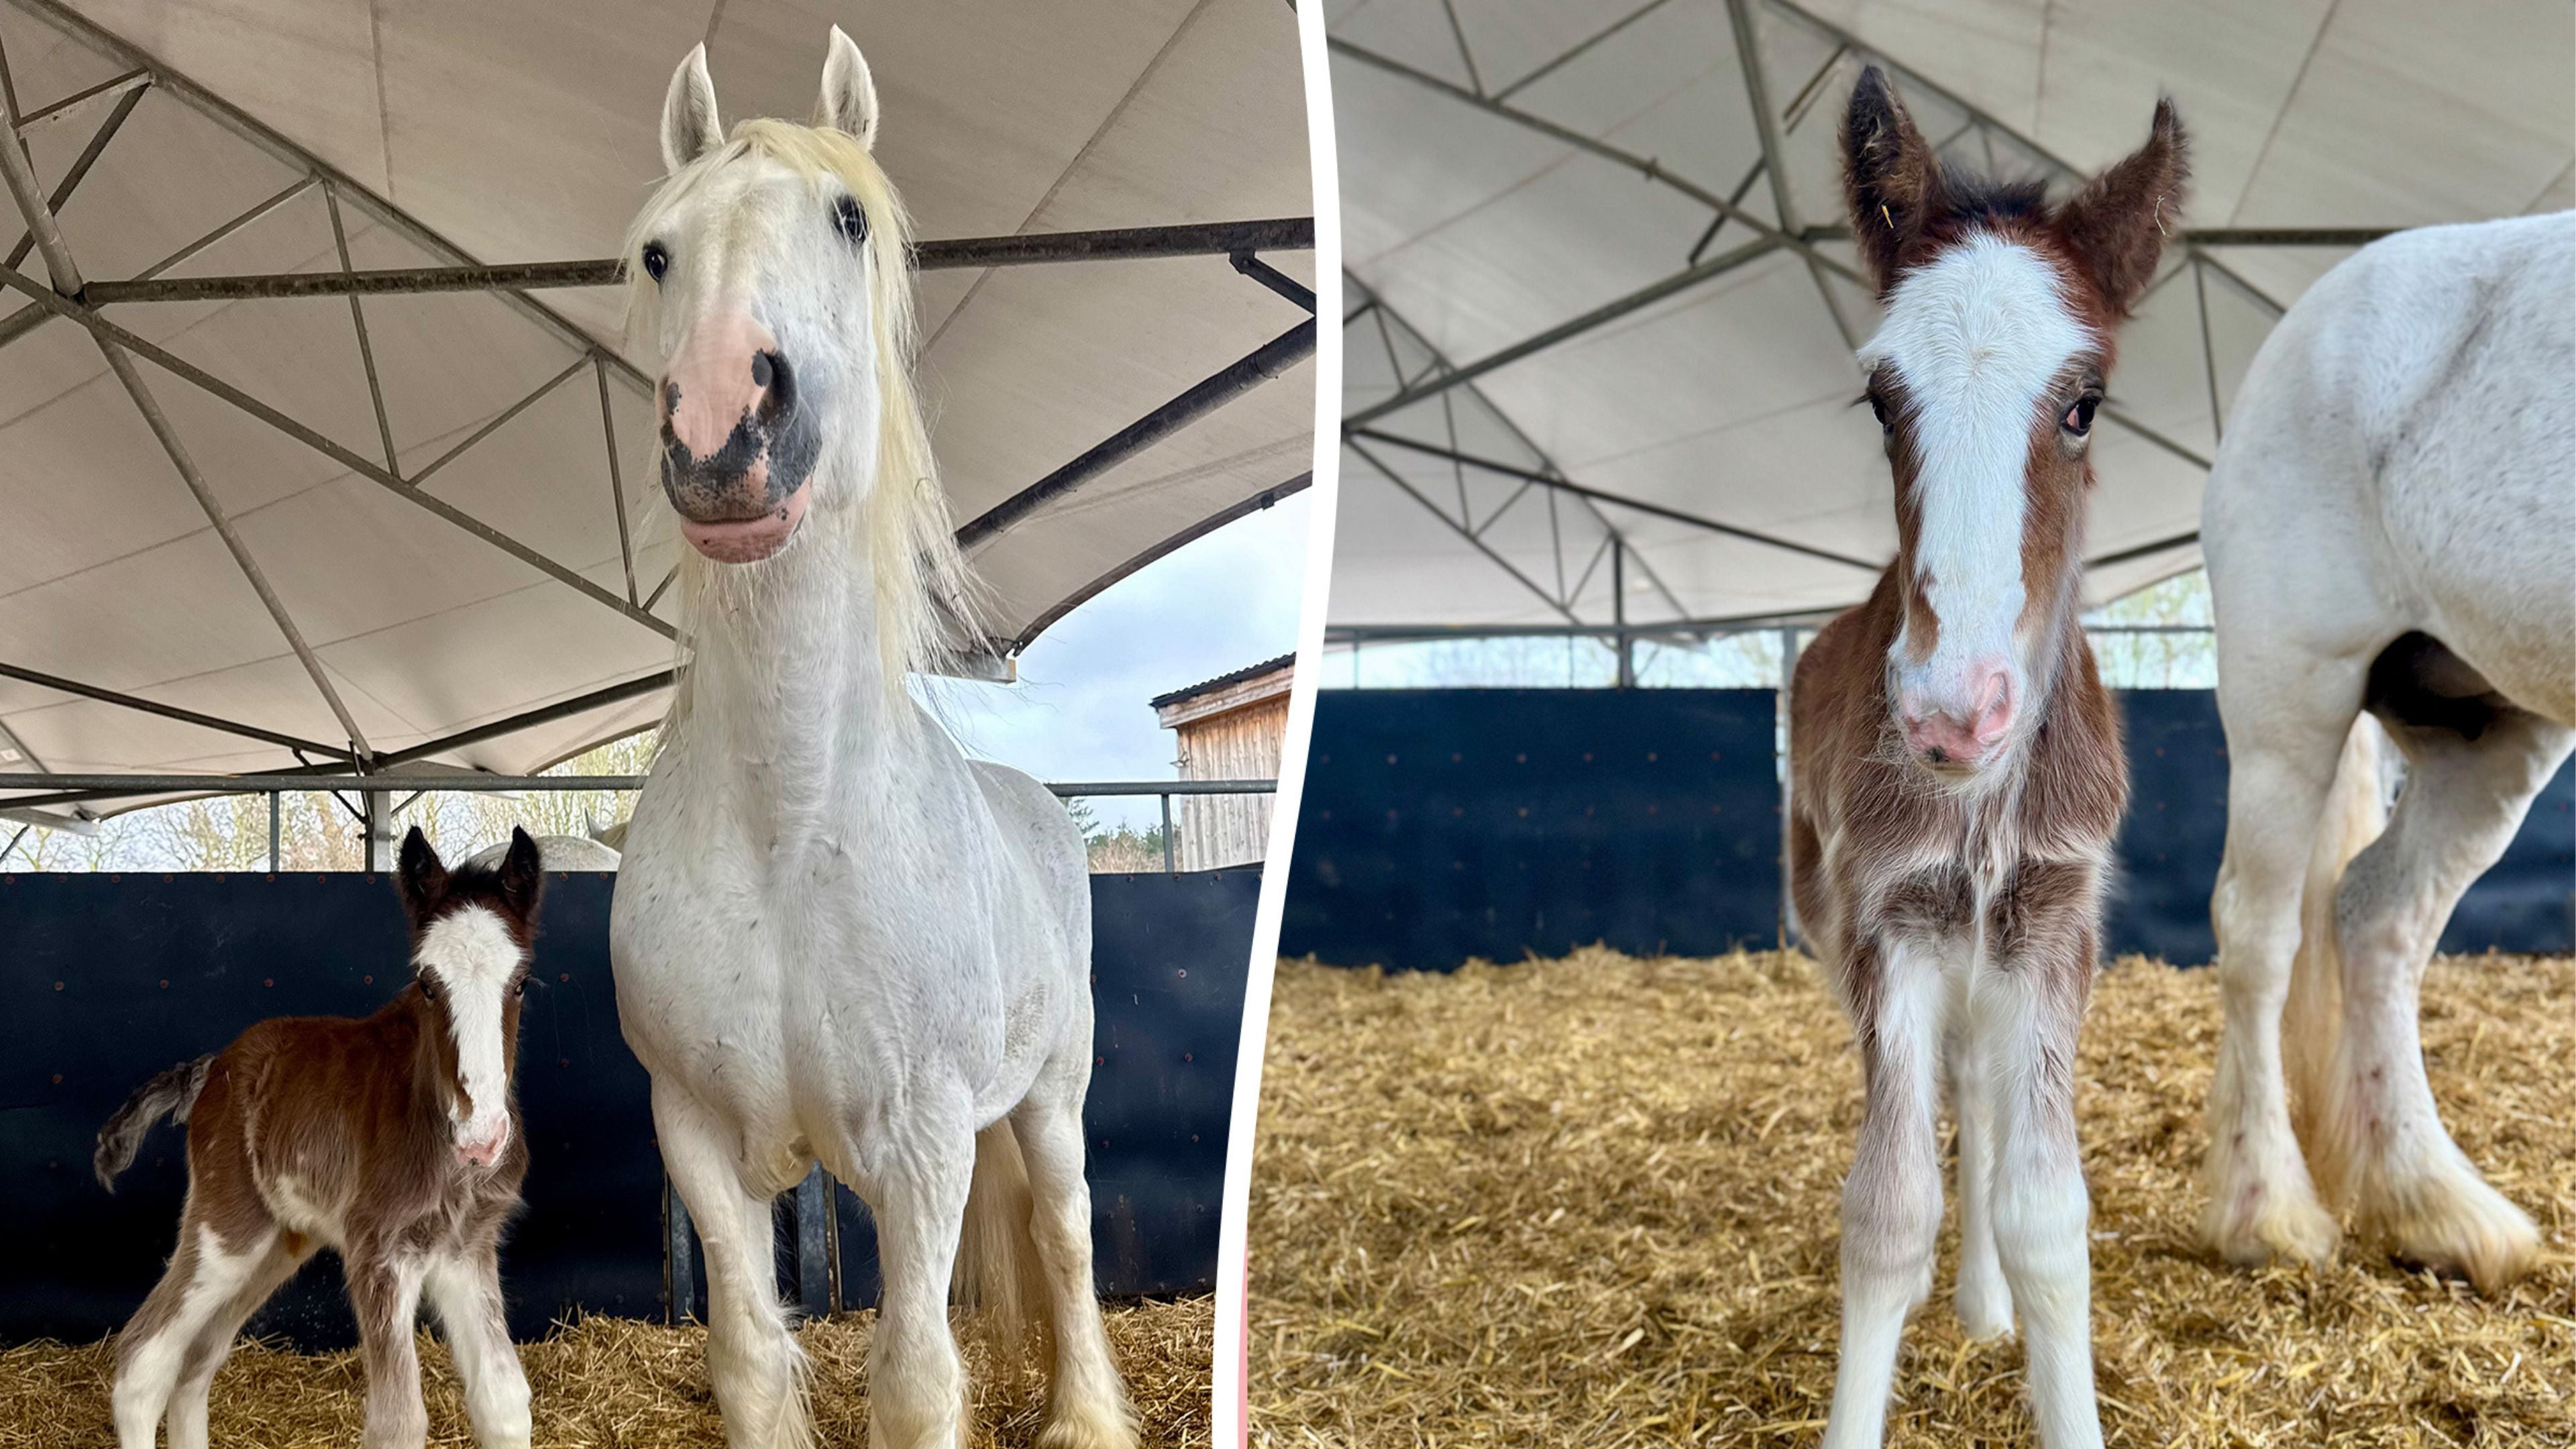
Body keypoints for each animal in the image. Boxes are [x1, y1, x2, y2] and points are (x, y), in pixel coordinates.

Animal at [95, 827, 544, 1449]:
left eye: (520, 983)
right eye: (427, 985)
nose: (482, 1138)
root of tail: (212, 1069)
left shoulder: (467, 1250)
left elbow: (503, 1403)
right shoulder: (378, 1250)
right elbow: (399, 1423)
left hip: (280, 1243)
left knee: (196, 1363)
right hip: (226, 1230)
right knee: (144, 1360)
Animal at [606, 31, 1135, 1449]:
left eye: (847, 218)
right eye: (659, 251)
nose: (721, 427)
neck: (791, 824)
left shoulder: (929, 1143)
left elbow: (914, 1377)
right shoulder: (694, 1134)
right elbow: (749, 1354)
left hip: (1051, 1100)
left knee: (1064, 1240)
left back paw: (1081, 1415)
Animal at [1785, 69, 2185, 1449]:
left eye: (2084, 402)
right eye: (1879, 399)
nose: (1953, 714)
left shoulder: (2057, 918)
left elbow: (2050, 1209)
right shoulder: (1886, 922)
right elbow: (1885, 1207)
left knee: (1990, 1102)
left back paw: (1984, 1305)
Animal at [2196, 212, 2574, 1295]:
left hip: (2487, 736)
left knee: (2378, 918)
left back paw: (2431, 1207)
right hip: (2290, 699)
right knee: (2258, 932)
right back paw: (2266, 1216)